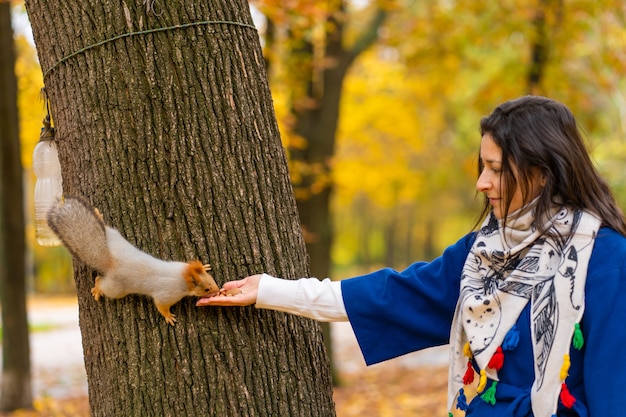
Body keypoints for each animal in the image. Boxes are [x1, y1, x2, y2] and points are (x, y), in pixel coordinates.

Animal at [45, 195, 219, 324]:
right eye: (206, 289)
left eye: (211, 279)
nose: (218, 290)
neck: (182, 277)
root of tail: (110, 261)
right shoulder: (168, 293)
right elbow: (161, 305)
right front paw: (169, 317)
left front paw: (204, 266)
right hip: (116, 289)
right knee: (101, 281)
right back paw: (97, 289)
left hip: (114, 238)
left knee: (106, 229)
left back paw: (99, 216)